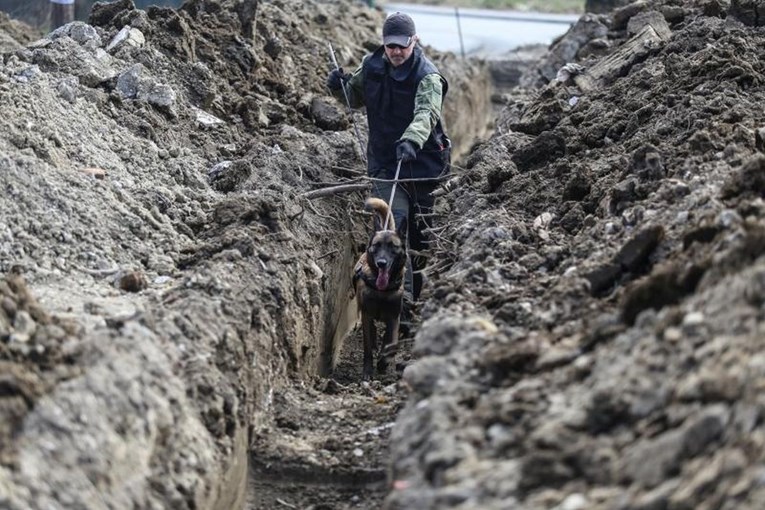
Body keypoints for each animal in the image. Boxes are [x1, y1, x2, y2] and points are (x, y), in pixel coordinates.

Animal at [354, 197, 408, 380]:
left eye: (393, 246)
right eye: (377, 245)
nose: (381, 263)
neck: (381, 292)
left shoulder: (394, 317)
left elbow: (391, 344)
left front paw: (384, 363)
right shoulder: (367, 315)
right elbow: (367, 347)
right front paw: (368, 370)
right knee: (372, 332)